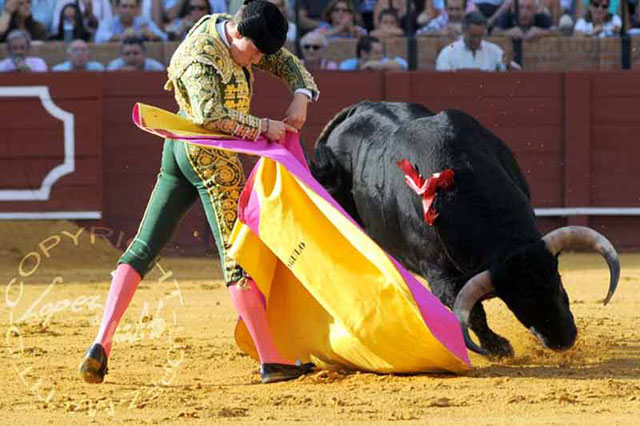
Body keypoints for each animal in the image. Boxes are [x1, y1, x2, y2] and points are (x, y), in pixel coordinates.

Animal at [310, 101, 620, 358]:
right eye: (514, 301)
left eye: (557, 280)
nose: (562, 340)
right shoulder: (440, 275)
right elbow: (473, 314)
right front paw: (499, 348)